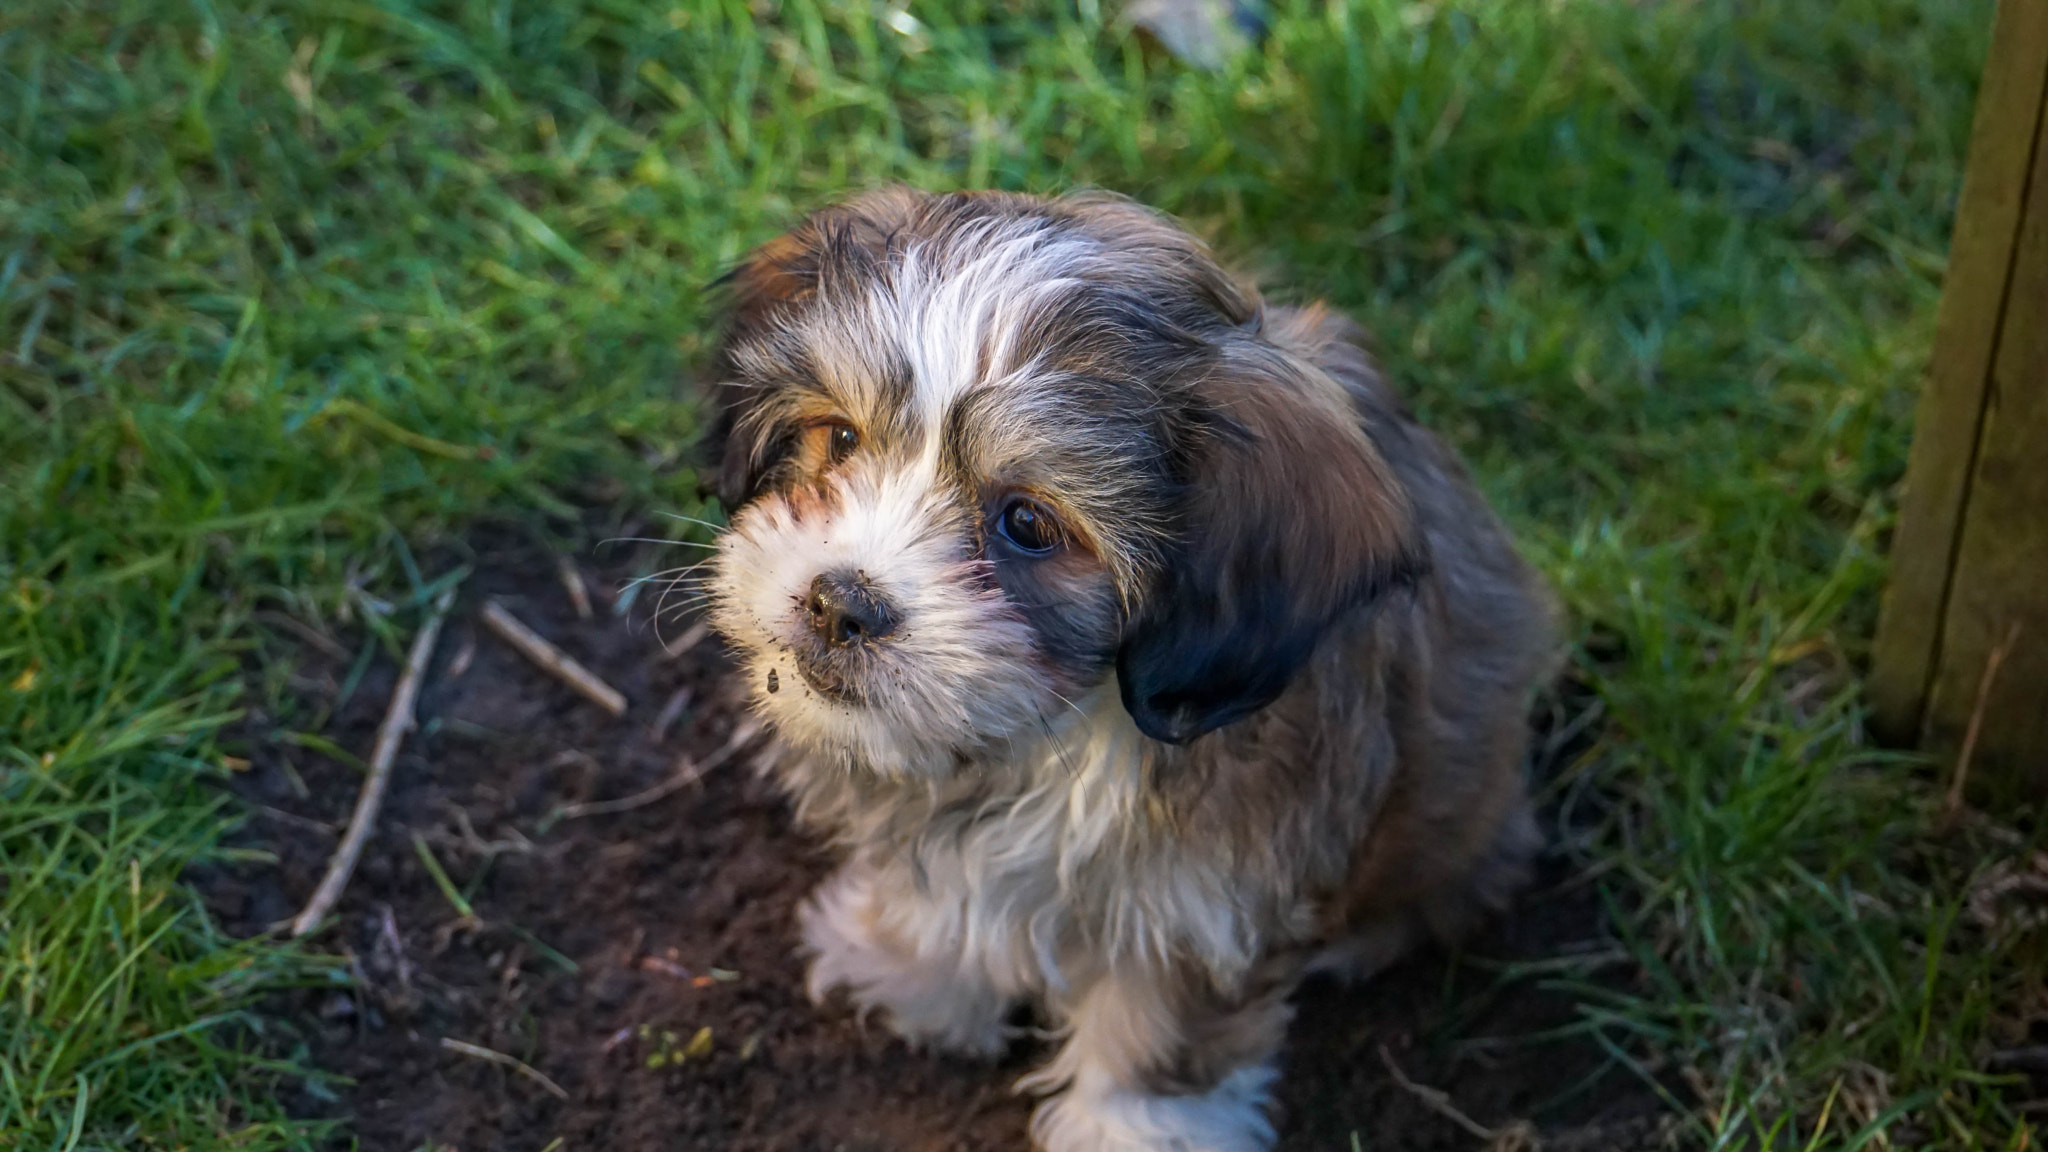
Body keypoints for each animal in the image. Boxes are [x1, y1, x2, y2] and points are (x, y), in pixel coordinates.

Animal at [700, 183, 1548, 1139]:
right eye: (840, 438)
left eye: (1028, 523)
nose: (840, 600)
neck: (1064, 729)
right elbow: (938, 884)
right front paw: (909, 968)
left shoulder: (1207, 895)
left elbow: (1162, 1023)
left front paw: (1135, 1129)